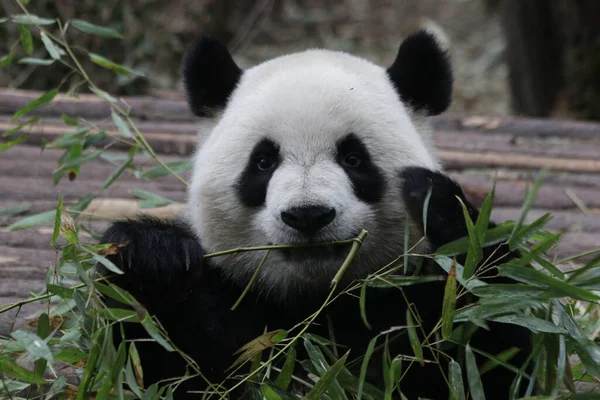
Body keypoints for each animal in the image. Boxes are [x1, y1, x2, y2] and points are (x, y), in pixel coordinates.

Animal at [98, 31, 536, 400]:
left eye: (353, 158)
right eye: (263, 161)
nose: (307, 214)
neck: (316, 302)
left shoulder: (415, 301)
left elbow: (489, 354)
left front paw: (439, 204)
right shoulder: (234, 297)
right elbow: (152, 370)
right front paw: (153, 258)